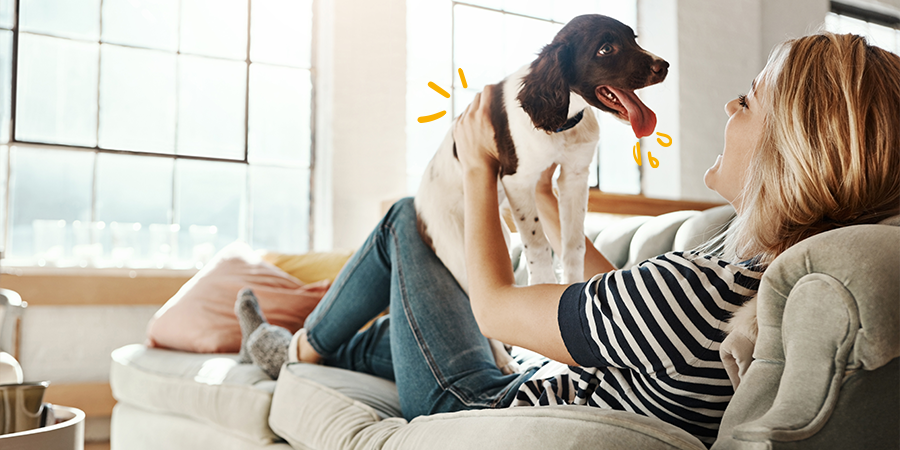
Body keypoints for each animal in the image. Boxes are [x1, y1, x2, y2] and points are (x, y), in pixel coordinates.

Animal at [414, 14, 668, 372]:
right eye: (605, 49)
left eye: (633, 39)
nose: (664, 66)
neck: (563, 118)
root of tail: (418, 204)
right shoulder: (518, 180)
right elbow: (537, 244)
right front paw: (544, 283)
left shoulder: (575, 177)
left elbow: (572, 244)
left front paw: (570, 284)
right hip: (458, 249)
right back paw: (504, 361)